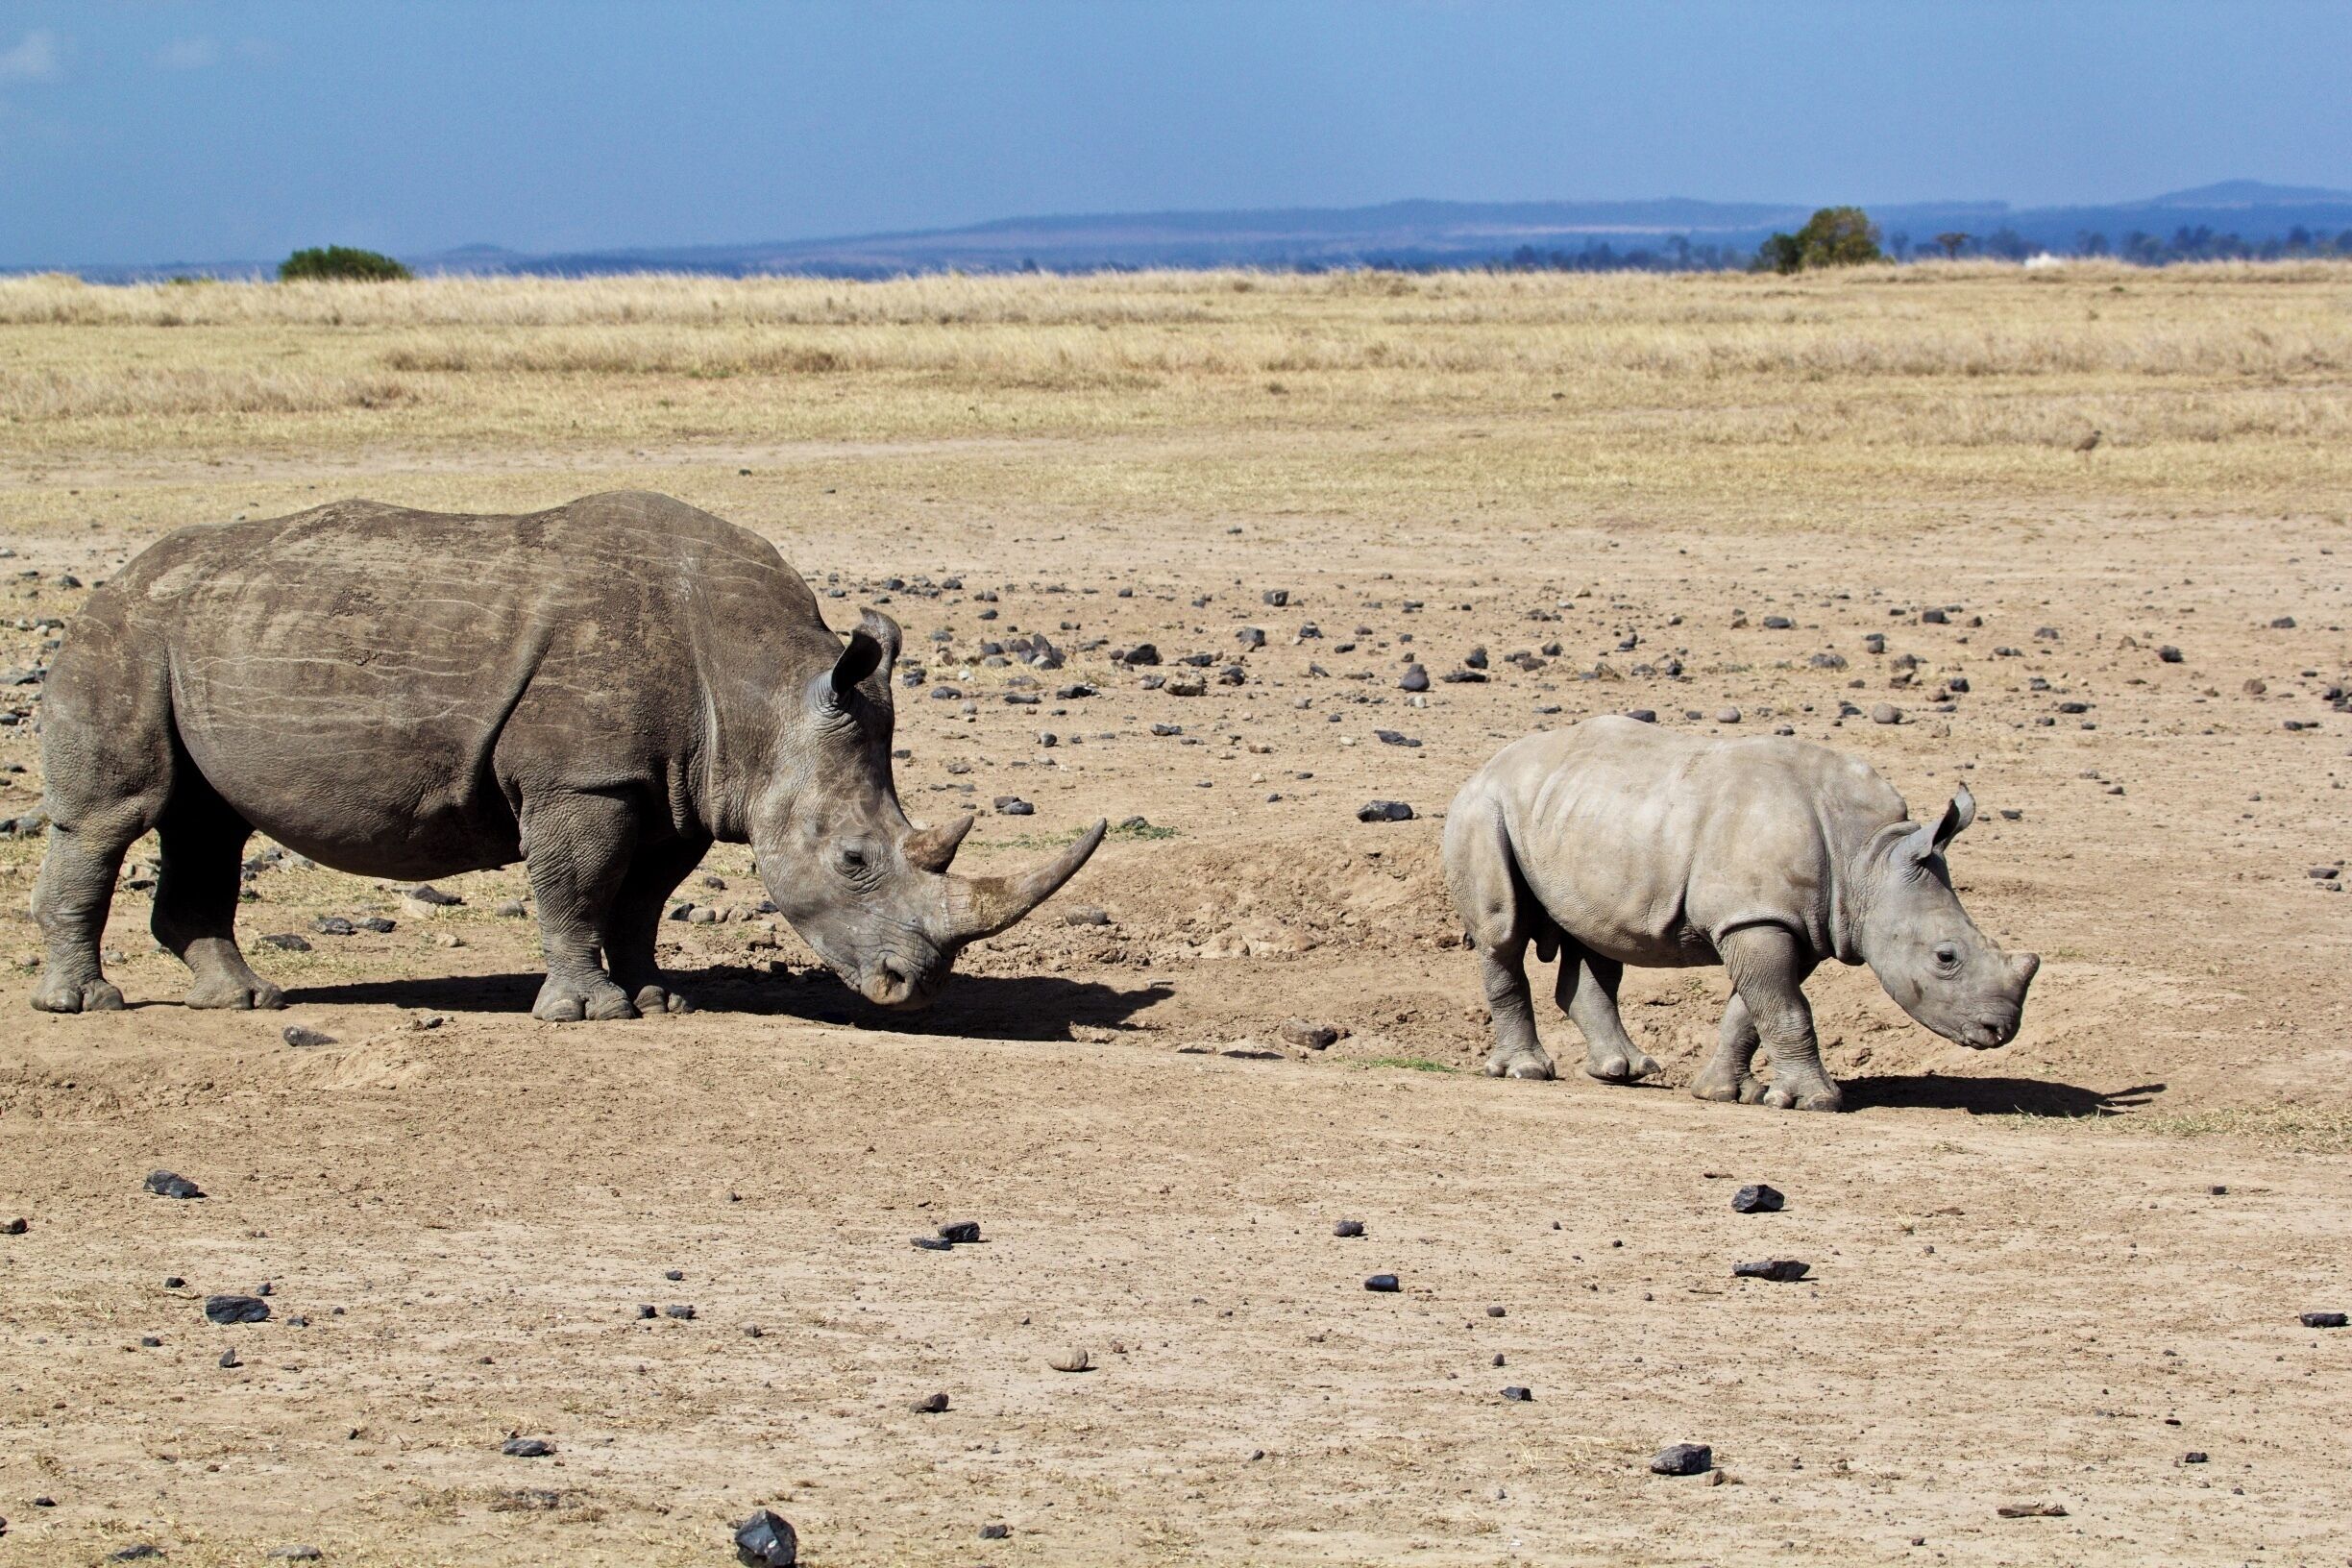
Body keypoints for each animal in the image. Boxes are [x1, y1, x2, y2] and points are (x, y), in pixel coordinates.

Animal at [30, 491, 1103, 1020]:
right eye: (853, 861)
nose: (911, 990)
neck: (763, 689)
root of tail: (117, 574)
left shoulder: (677, 784)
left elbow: (641, 897)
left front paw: (659, 997)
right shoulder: (583, 777)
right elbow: (577, 884)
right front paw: (589, 1013)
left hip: (204, 631)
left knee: (208, 819)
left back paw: (245, 1000)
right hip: (124, 632)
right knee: (119, 815)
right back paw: (86, 1006)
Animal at [1442, 716, 2038, 1111]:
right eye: (1945, 957)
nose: (2001, 1030)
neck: (1869, 857)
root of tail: (1486, 765)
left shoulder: (1792, 921)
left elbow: (1753, 1010)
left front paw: (1727, 1093)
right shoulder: (1758, 918)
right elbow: (1785, 1008)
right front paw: (1817, 1102)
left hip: (1581, 817)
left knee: (1597, 940)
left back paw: (1625, 1071)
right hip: (1484, 809)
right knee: (1503, 933)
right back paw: (1528, 1072)